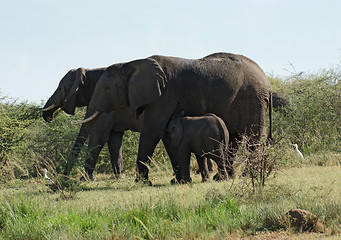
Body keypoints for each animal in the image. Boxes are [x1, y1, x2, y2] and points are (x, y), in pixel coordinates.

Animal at [79, 52, 270, 184]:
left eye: (106, 88)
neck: (132, 63)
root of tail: (267, 82)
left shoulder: (164, 96)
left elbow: (152, 132)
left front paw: (141, 182)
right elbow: (167, 137)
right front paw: (178, 181)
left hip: (252, 98)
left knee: (252, 138)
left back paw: (246, 176)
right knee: (234, 138)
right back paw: (224, 177)